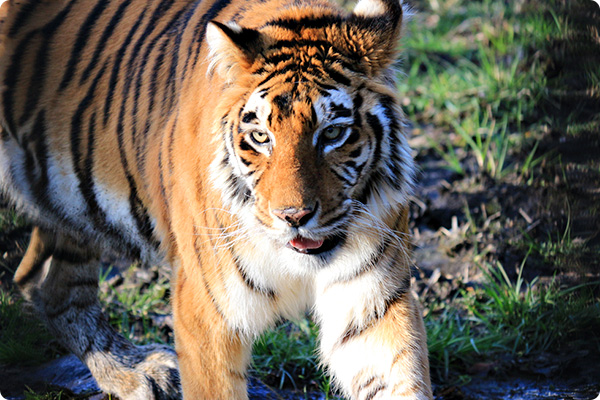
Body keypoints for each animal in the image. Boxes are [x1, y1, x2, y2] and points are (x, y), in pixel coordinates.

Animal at [0, 0, 434, 398]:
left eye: (332, 134)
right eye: (260, 137)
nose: (294, 216)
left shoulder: (373, 301)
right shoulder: (207, 312)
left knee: (45, 283)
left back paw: (133, 370)